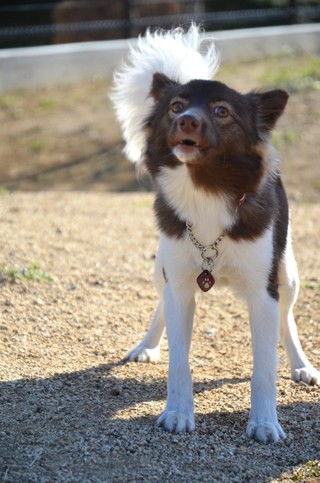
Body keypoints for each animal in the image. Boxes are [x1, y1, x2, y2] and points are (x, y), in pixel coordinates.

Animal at [110, 25, 320, 442]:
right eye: (176, 107)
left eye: (222, 111)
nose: (187, 121)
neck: (205, 191)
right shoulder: (178, 283)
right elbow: (179, 359)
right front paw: (177, 412)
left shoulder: (264, 293)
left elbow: (264, 368)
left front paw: (265, 423)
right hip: (161, 269)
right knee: (161, 307)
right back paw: (147, 345)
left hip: (287, 272)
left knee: (288, 319)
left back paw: (301, 364)